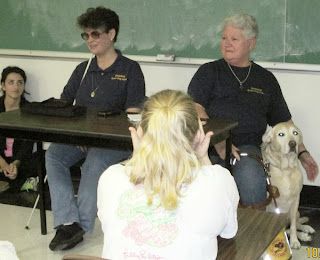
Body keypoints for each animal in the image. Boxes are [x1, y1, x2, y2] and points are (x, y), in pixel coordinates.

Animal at [262, 121, 316, 249]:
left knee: (296, 223)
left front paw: (295, 240)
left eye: (295, 133)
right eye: (281, 134)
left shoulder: (296, 199)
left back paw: (306, 229)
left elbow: (293, 226)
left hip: (295, 212)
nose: (293, 143)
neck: (286, 169)